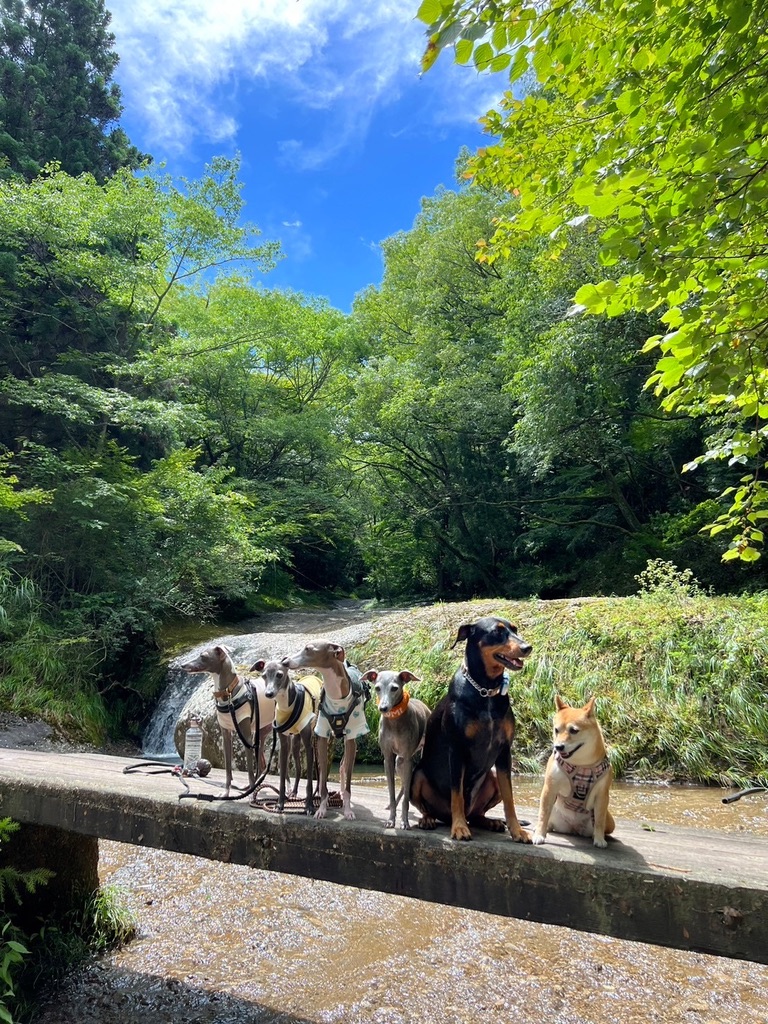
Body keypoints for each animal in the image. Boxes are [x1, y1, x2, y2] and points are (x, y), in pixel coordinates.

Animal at [411, 614, 532, 839]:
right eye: (497, 632)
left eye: (515, 629)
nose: (527, 647)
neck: (486, 691)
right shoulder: (457, 749)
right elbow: (456, 793)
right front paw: (459, 828)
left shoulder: (504, 751)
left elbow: (509, 797)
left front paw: (517, 830)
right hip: (418, 775)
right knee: (426, 807)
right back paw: (430, 820)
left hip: (491, 775)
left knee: (477, 814)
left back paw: (490, 822)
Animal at [532, 696, 618, 847]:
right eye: (556, 730)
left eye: (573, 730)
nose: (558, 747)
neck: (581, 764)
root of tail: (573, 828)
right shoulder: (550, 788)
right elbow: (543, 814)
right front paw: (539, 835)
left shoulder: (602, 795)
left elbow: (599, 820)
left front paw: (599, 839)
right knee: (548, 818)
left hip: (610, 822)